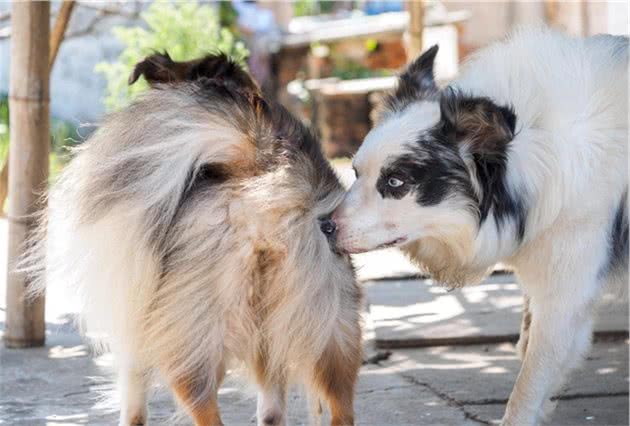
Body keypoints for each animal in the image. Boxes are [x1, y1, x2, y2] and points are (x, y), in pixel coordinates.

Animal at [334, 28, 628, 424]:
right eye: (355, 172)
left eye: (395, 181)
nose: (324, 225)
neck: (535, 152)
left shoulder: (565, 291)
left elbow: (529, 381)